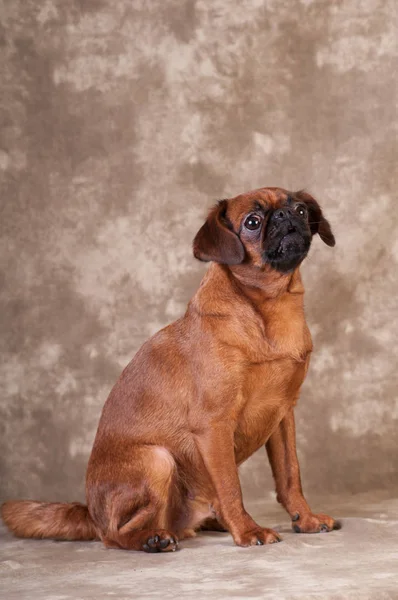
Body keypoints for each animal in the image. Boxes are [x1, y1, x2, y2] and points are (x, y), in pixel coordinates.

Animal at [0, 186, 336, 552]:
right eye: (252, 222)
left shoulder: (283, 416)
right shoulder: (214, 425)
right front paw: (248, 531)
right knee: (114, 535)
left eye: (301, 210)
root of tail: (89, 512)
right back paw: (154, 539)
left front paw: (305, 519)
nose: (287, 216)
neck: (271, 308)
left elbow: (290, 475)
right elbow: (231, 486)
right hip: (158, 461)